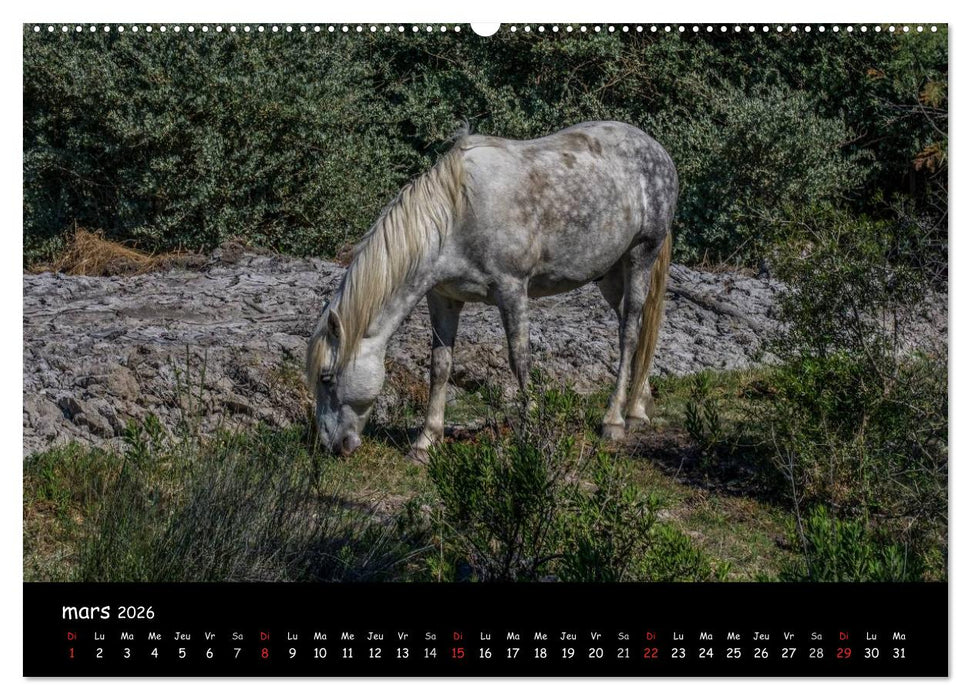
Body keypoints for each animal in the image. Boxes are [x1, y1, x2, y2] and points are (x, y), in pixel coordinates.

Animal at [307, 121, 678, 458]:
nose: (331, 445)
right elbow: (440, 367)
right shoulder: (443, 298)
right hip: (611, 277)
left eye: (326, 377)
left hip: (641, 256)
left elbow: (519, 360)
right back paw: (638, 408)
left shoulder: (512, 289)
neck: (456, 214)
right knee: (635, 328)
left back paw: (614, 420)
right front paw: (426, 442)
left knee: (629, 333)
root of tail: (657, 150)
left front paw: (531, 432)